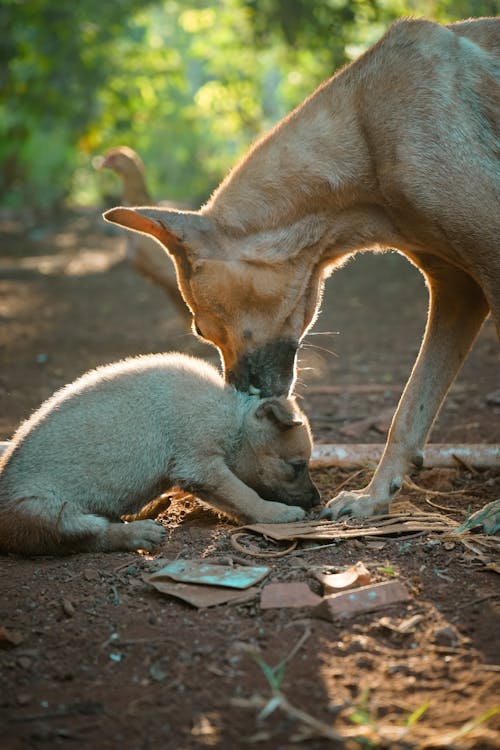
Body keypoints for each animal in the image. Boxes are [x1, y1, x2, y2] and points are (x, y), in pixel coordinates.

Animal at [103, 19, 498, 524]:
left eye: (202, 329)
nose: (239, 401)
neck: (367, 130)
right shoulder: (458, 292)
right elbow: (409, 410)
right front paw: (374, 498)